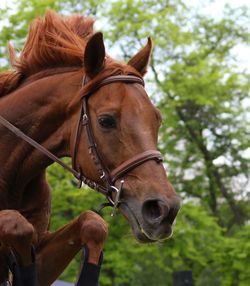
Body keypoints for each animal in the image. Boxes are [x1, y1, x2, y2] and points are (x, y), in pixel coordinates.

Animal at [0, 10, 180, 284]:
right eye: (106, 120)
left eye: (157, 119)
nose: (164, 209)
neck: (14, 175)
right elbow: (17, 224)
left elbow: (94, 224)